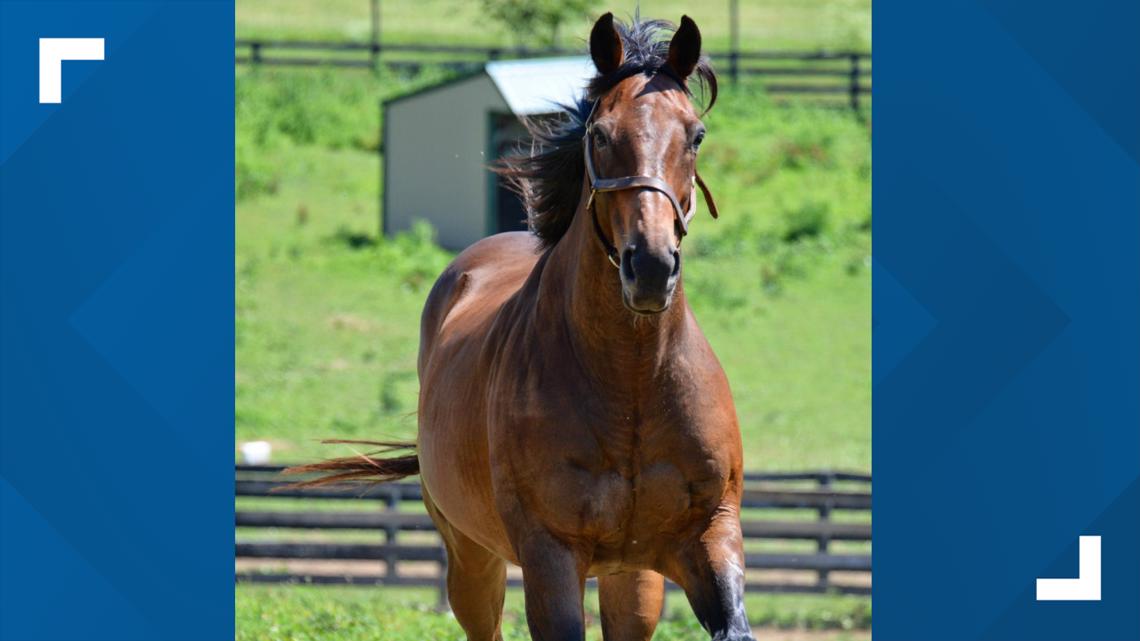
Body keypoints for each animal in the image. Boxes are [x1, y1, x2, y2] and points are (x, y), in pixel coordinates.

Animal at [290, 14, 753, 641]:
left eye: (696, 135)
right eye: (599, 134)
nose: (651, 267)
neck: (632, 385)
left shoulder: (707, 537)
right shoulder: (549, 554)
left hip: (630, 578)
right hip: (471, 557)